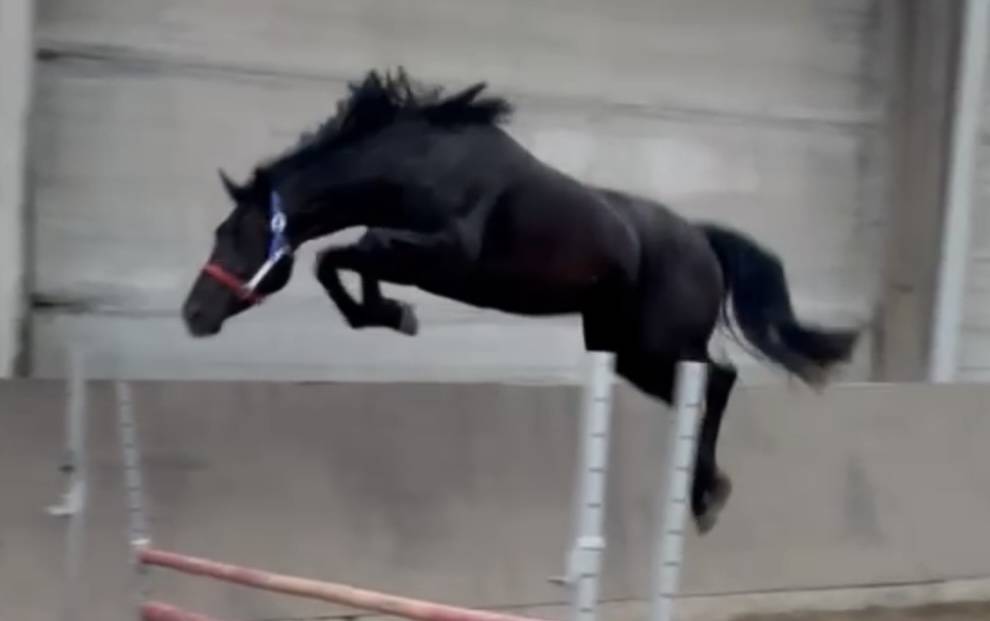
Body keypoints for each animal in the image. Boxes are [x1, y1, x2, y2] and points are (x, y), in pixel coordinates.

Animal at [181, 68, 860, 533]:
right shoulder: (406, 252)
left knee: (719, 380)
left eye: (233, 235)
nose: (193, 315)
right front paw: (392, 316)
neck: (417, 164)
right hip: (624, 349)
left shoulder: (444, 254)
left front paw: (392, 314)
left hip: (658, 345)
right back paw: (704, 491)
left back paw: (704, 498)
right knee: (705, 387)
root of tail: (702, 239)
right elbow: (349, 262)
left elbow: (338, 257)